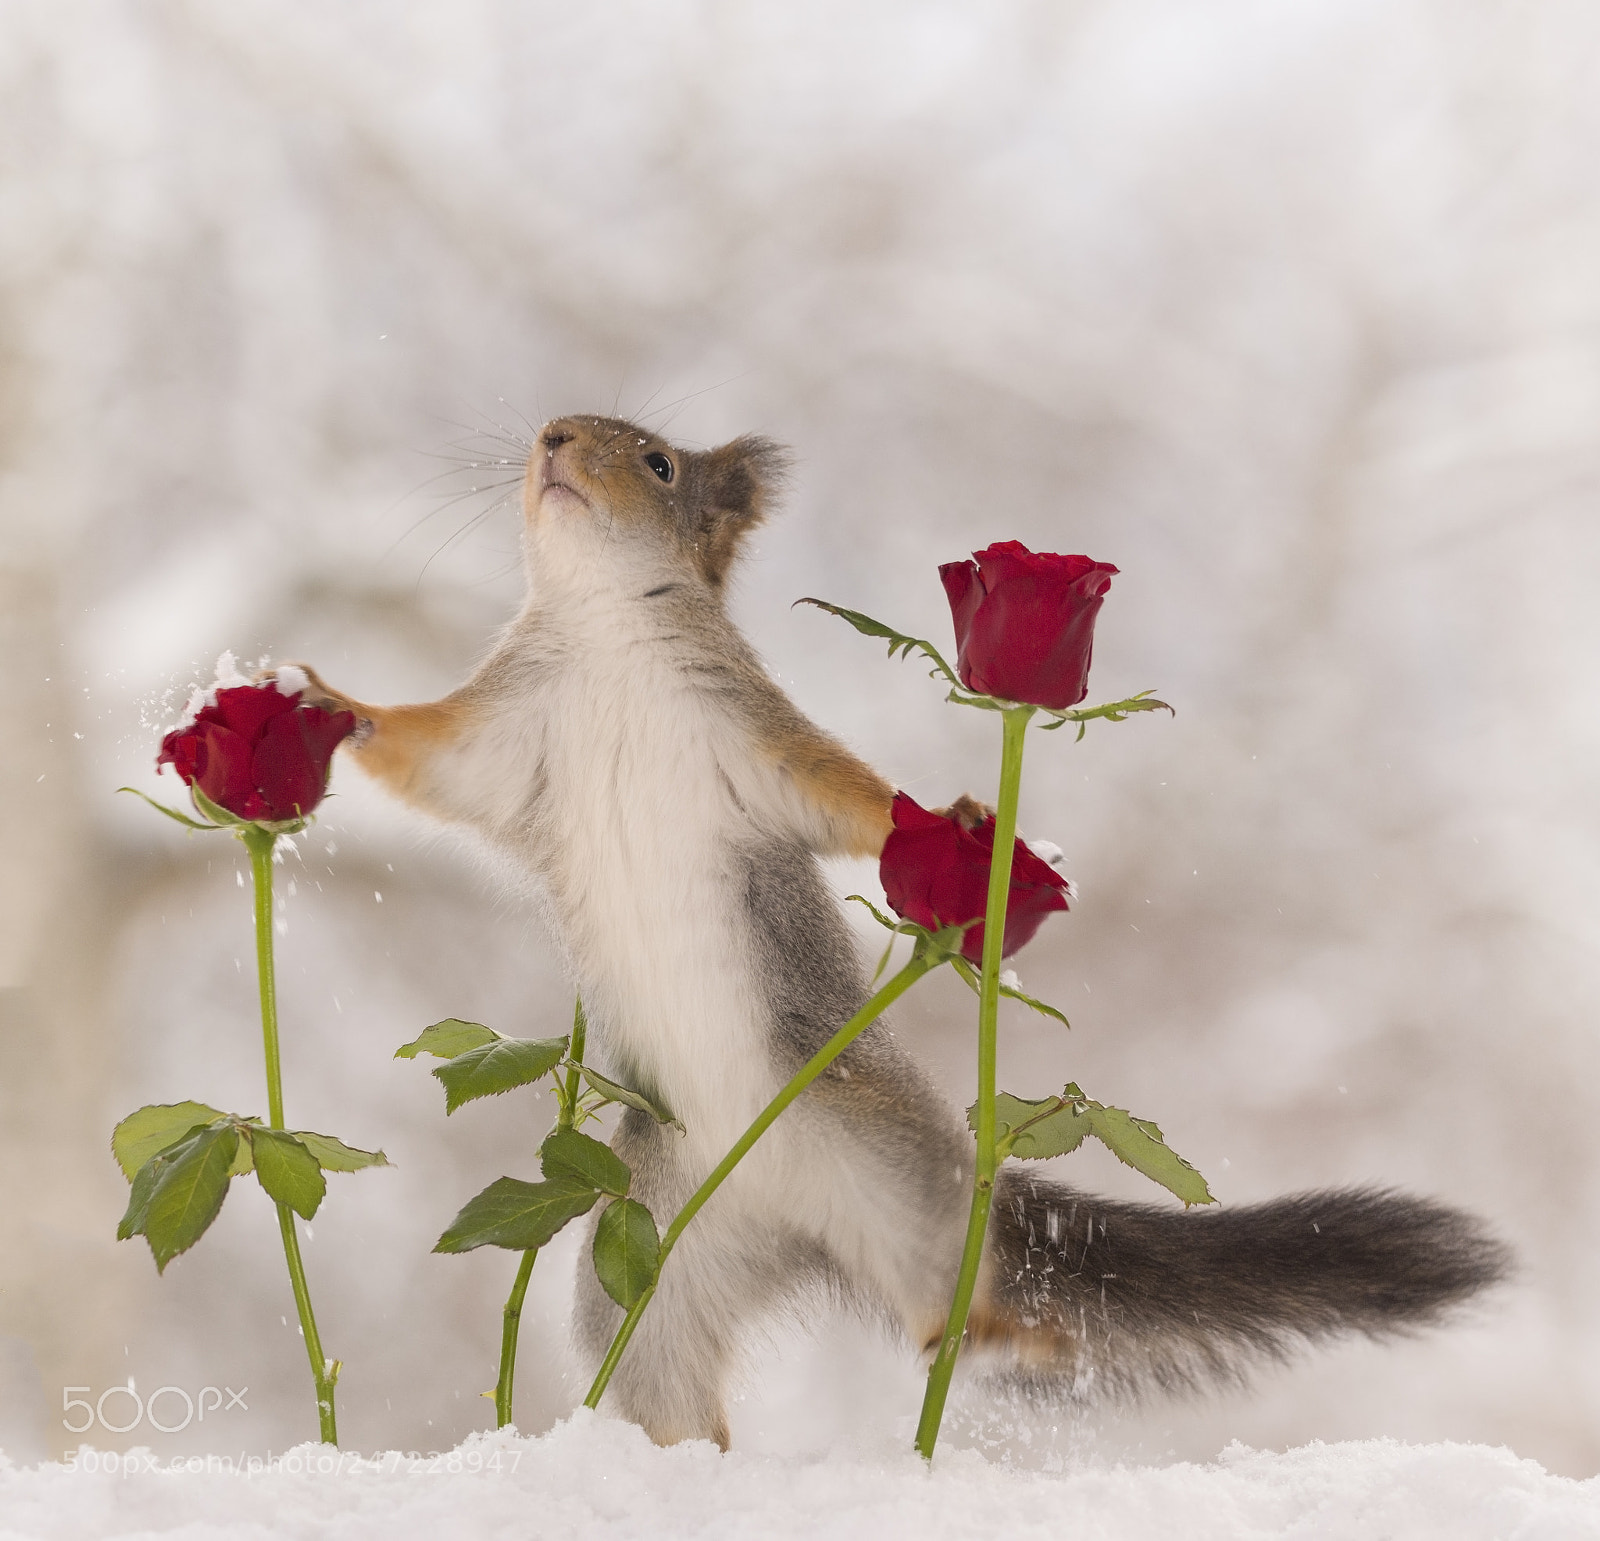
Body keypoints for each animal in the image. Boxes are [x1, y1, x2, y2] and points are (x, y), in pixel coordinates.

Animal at [282, 414, 1508, 1450]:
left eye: (661, 464)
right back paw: (678, 1458)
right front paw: (317, 696)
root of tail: (778, 1221)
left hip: (895, 1178)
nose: (550, 439)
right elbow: (421, 751)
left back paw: (1016, 1332)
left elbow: (854, 797)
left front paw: (962, 825)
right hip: (646, 1262)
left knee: (951, 1305)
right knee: (669, 1378)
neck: (604, 634)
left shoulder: (754, 736)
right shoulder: (500, 735)